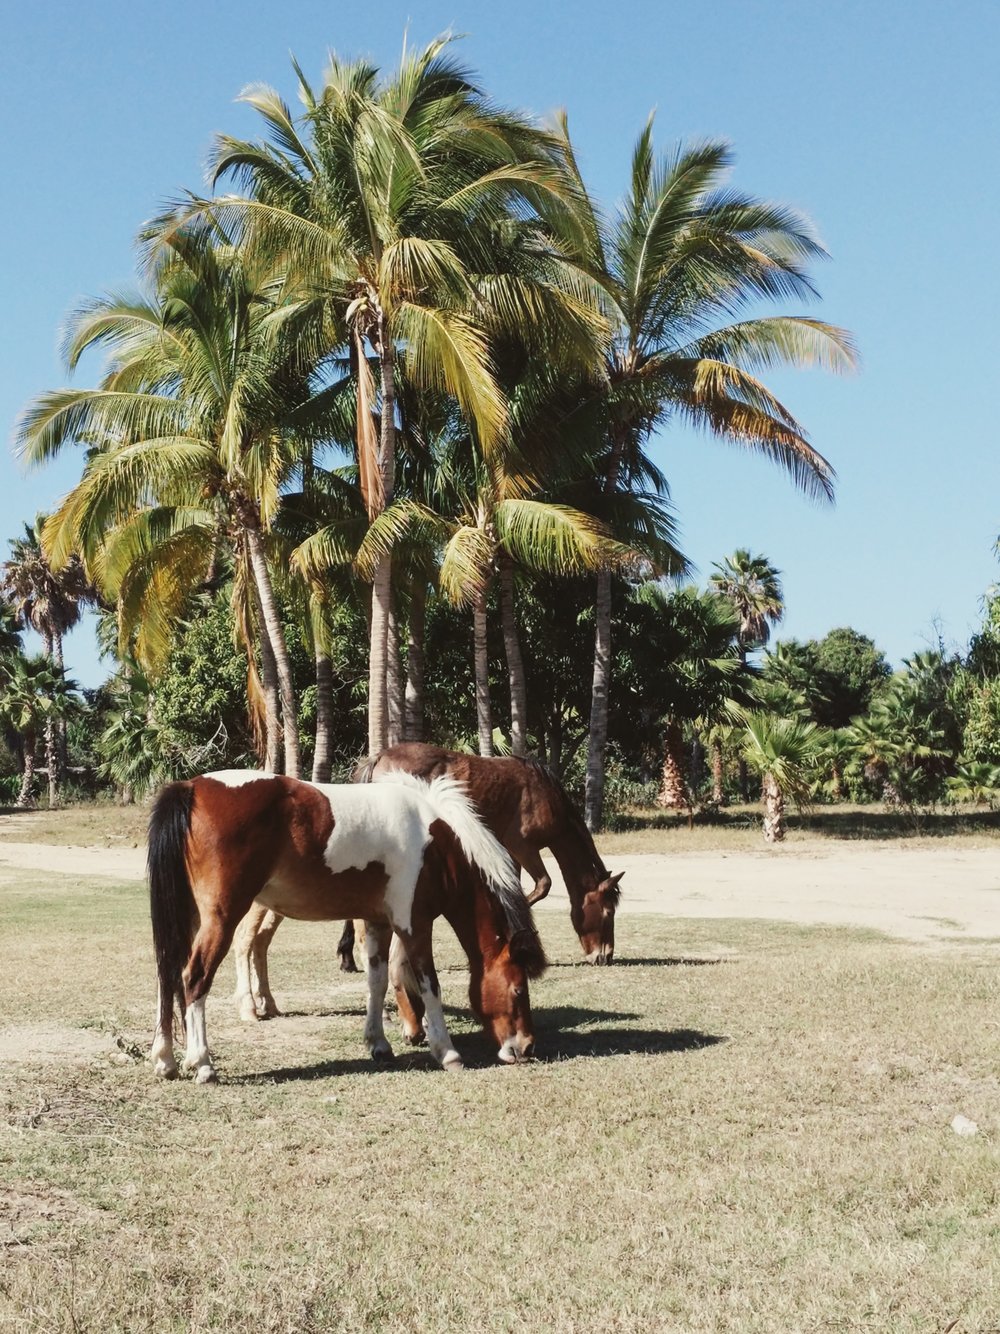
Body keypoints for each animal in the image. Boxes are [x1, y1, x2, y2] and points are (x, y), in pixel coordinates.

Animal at [146, 773, 549, 1083]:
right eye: (518, 989)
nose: (527, 1047)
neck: (435, 842)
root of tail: (192, 787)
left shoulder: (378, 923)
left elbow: (377, 982)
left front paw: (379, 1045)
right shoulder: (414, 925)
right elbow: (429, 984)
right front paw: (447, 1052)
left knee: (168, 973)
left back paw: (166, 1059)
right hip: (222, 916)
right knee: (194, 978)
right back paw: (202, 1064)